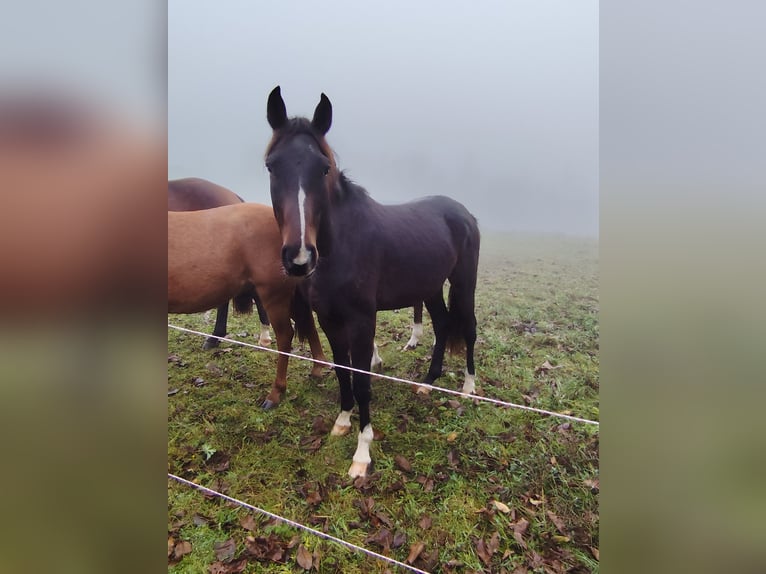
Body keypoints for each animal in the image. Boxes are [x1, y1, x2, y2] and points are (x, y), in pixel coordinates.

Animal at [264, 86, 480, 477]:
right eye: (272, 165)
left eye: (323, 168)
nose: (299, 257)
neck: (341, 247)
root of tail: (464, 213)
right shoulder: (329, 320)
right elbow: (341, 372)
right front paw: (342, 422)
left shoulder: (363, 321)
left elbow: (362, 380)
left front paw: (362, 453)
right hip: (429, 287)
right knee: (443, 325)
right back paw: (427, 384)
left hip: (463, 282)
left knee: (467, 328)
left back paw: (468, 387)